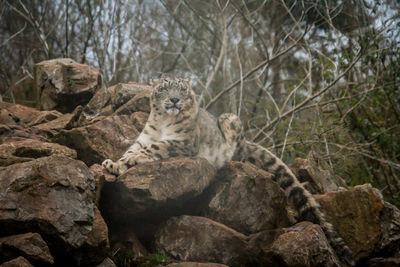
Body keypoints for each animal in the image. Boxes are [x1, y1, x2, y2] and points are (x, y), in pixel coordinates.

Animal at [101, 77, 354, 266]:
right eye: (164, 88)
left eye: (181, 89)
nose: (174, 99)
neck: (163, 123)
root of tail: (246, 142)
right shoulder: (143, 138)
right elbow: (132, 149)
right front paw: (114, 163)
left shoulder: (181, 143)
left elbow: (155, 148)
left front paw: (129, 161)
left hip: (230, 120)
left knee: (238, 152)